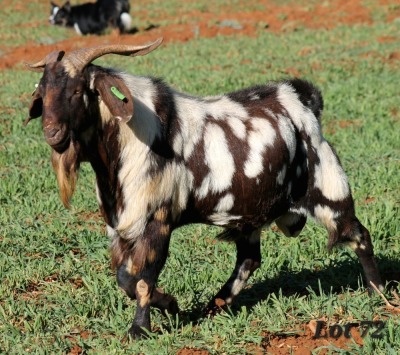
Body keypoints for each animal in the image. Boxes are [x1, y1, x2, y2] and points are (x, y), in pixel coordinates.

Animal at [25, 37, 384, 338]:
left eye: (76, 91)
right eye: (42, 92)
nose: (53, 133)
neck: (128, 141)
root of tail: (304, 102)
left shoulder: (158, 221)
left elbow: (140, 280)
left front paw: (141, 328)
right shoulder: (120, 227)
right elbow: (125, 277)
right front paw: (171, 305)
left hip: (329, 191)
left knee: (359, 235)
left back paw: (378, 292)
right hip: (251, 215)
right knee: (249, 260)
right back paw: (215, 306)